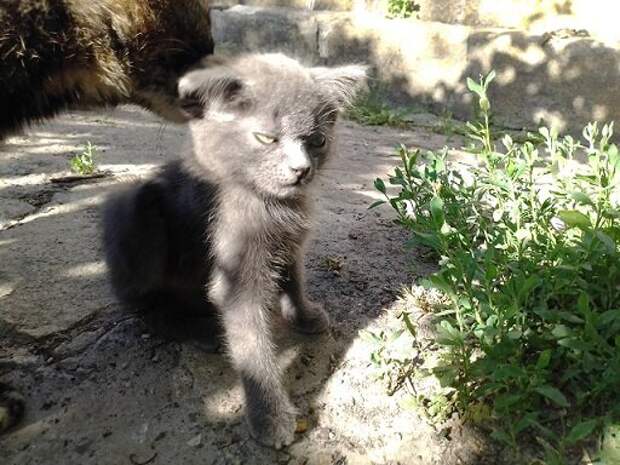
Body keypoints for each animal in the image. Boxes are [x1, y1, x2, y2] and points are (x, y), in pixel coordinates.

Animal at [101, 52, 364, 448]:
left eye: (317, 140)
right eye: (266, 137)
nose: (301, 170)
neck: (271, 204)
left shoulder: (290, 243)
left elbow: (294, 280)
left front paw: (304, 315)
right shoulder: (237, 276)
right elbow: (252, 347)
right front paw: (270, 417)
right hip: (128, 207)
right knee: (146, 307)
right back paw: (197, 329)